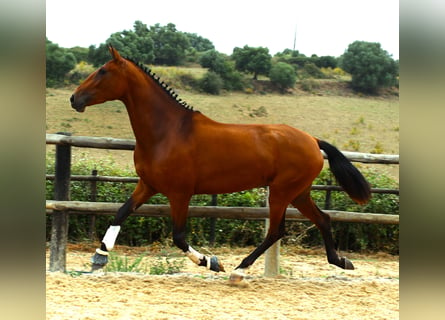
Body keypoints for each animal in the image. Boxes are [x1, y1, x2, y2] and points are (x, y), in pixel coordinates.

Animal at [69, 46, 370, 282]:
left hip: (282, 192)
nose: (74, 98)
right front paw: (99, 257)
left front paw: (212, 262)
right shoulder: (148, 185)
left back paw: (239, 270)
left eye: (102, 72)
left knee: (276, 230)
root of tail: (312, 140)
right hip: (298, 192)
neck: (167, 131)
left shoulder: (179, 193)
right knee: (322, 219)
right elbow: (120, 213)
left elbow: (178, 236)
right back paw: (342, 261)